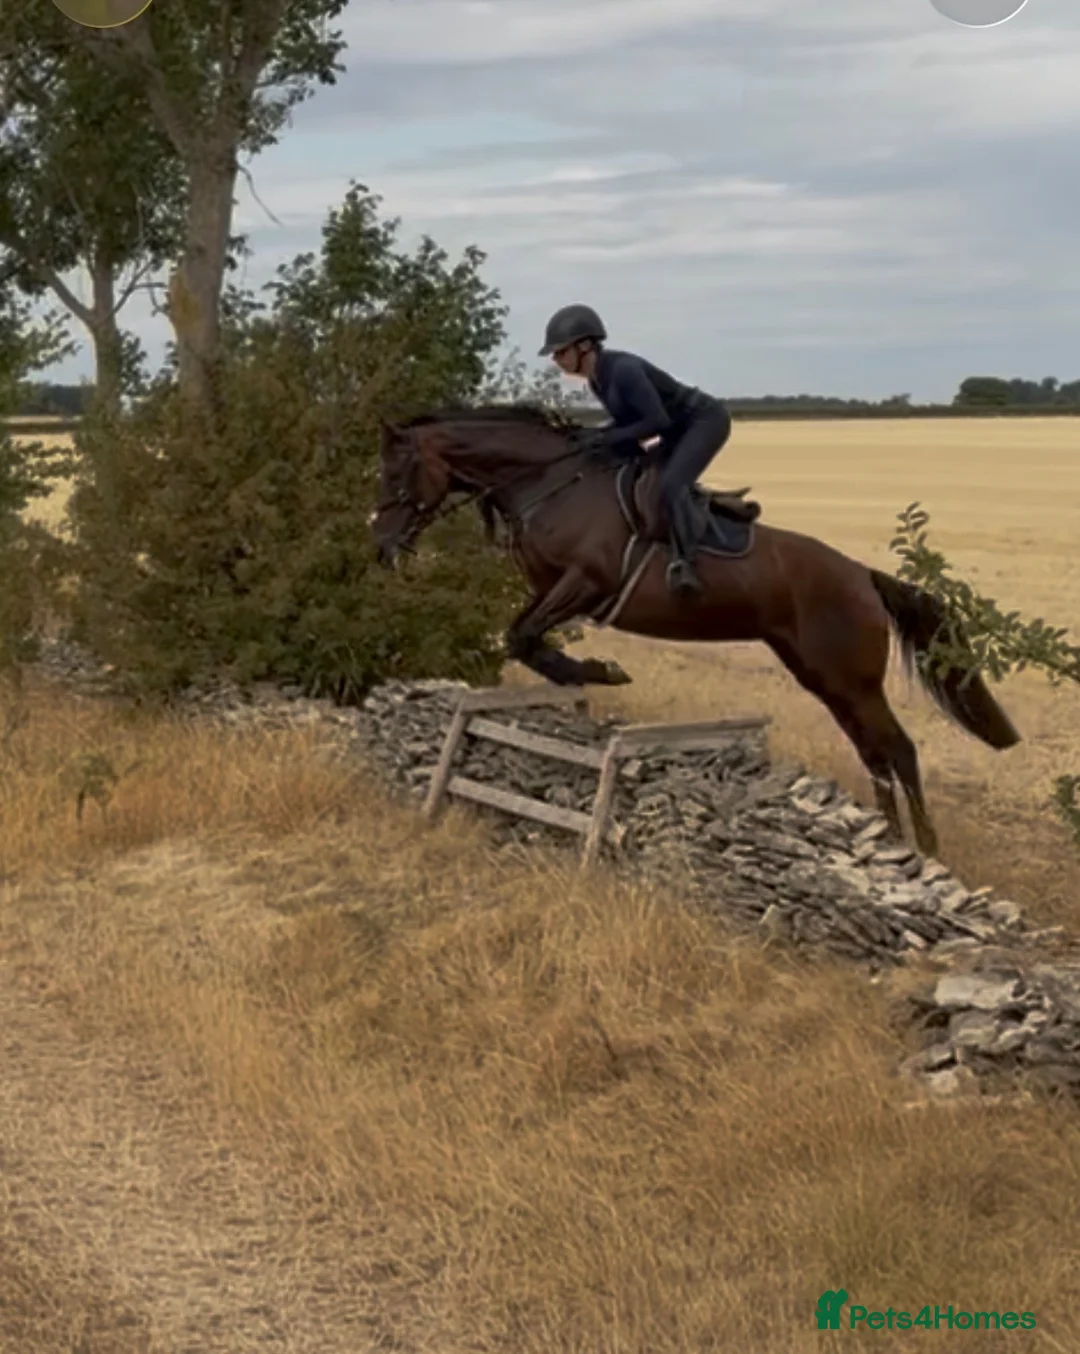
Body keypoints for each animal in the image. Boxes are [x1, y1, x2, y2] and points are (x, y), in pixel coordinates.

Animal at [369, 403, 1020, 857]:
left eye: (397, 473)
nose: (381, 547)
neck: (547, 482)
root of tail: (862, 574)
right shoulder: (549, 588)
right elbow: (523, 636)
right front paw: (585, 673)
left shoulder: (586, 581)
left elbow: (523, 637)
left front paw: (600, 671)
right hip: (823, 677)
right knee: (874, 752)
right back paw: (893, 841)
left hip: (850, 678)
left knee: (899, 749)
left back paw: (926, 848)